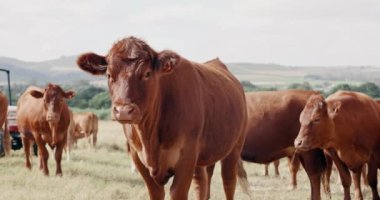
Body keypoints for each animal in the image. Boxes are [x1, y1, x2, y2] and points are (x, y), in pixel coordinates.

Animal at [77, 36, 249, 199]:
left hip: (234, 148)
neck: (150, 136)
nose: (123, 111)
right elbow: (156, 193)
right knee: (202, 184)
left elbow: (177, 193)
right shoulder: (138, 158)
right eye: (108, 74)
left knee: (228, 182)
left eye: (147, 73)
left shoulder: (186, 158)